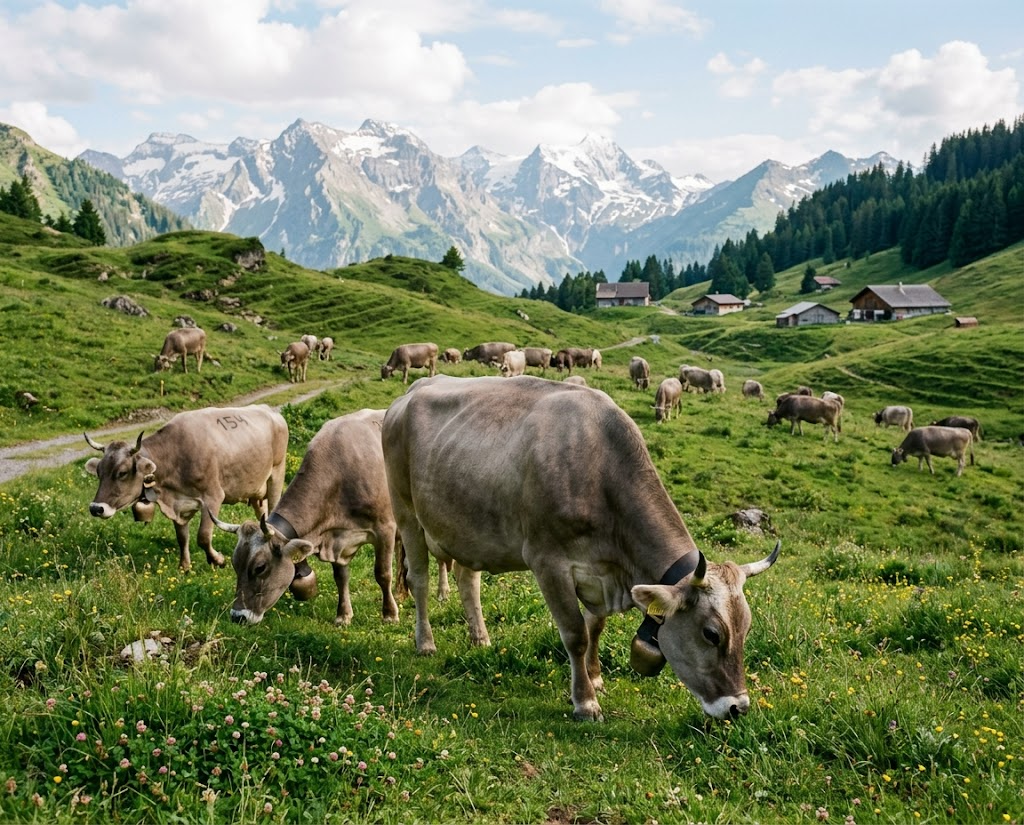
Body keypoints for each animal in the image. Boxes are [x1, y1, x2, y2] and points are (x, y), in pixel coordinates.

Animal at [84, 405, 288, 571]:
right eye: (99, 472)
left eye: (122, 472)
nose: (96, 508)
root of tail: (270, 410)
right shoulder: (179, 505)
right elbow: (182, 537)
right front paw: (184, 567)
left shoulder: (213, 496)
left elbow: (203, 536)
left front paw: (218, 560)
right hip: (256, 489)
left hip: (277, 473)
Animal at [209, 409, 402, 627]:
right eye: (235, 563)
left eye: (260, 568)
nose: (238, 616)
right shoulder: (337, 539)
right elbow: (340, 577)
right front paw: (343, 615)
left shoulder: (385, 528)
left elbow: (383, 573)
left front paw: (390, 614)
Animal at [382, 375, 779, 721]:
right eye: (711, 634)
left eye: (746, 627)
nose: (737, 707)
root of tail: (411, 391)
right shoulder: (548, 562)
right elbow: (575, 634)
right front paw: (585, 702)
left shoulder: (598, 570)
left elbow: (595, 627)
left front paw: (596, 677)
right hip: (406, 512)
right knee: (419, 580)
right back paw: (425, 642)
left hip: (469, 527)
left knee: (468, 580)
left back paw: (480, 638)